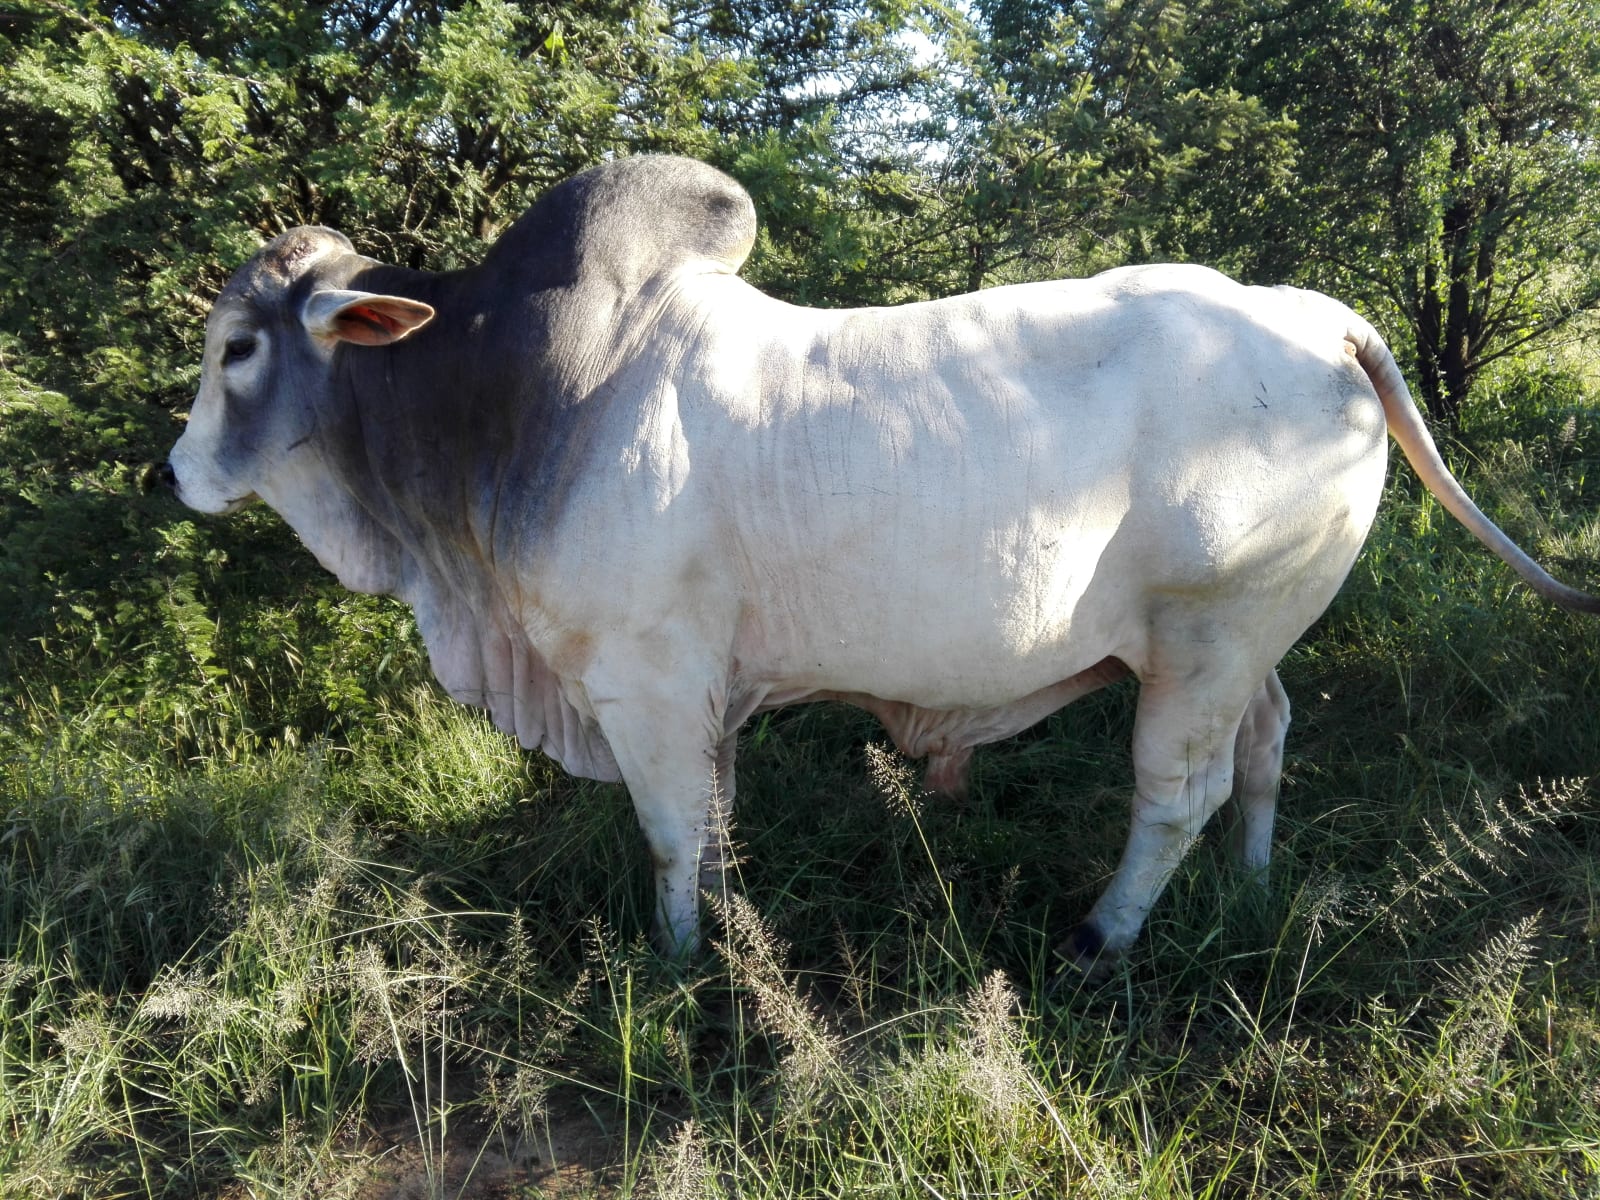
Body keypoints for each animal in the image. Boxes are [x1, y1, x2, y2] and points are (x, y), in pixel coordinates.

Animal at [164, 155, 1599, 975]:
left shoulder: (642, 680)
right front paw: (725, 931)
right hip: (1242, 644)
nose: (172, 474)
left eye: (239, 347)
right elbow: (716, 824)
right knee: (1266, 745)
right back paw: (1249, 889)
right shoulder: (706, 691)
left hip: (1202, 639)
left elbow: (671, 833)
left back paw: (1102, 940)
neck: (512, 403)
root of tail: (1318, 316)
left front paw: (679, 963)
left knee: (1173, 795)